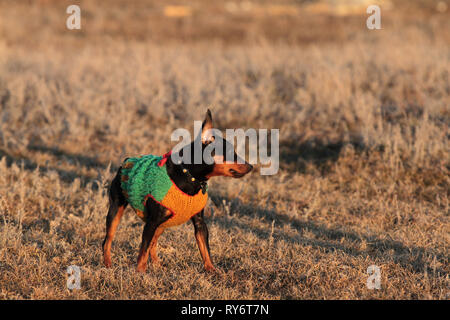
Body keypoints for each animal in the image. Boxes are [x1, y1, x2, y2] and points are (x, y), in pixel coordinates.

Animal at [101, 110, 253, 272]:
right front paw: (140, 272)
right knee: (108, 240)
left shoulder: (200, 223)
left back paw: (157, 264)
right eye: (230, 152)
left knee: (153, 243)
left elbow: (205, 250)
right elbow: (143, 251)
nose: (251, 166)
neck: (189, 176)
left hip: (163, 223)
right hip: (116, 210)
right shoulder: (151, 223)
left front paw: (212, 270)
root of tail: (127, 161)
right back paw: (108, 264)